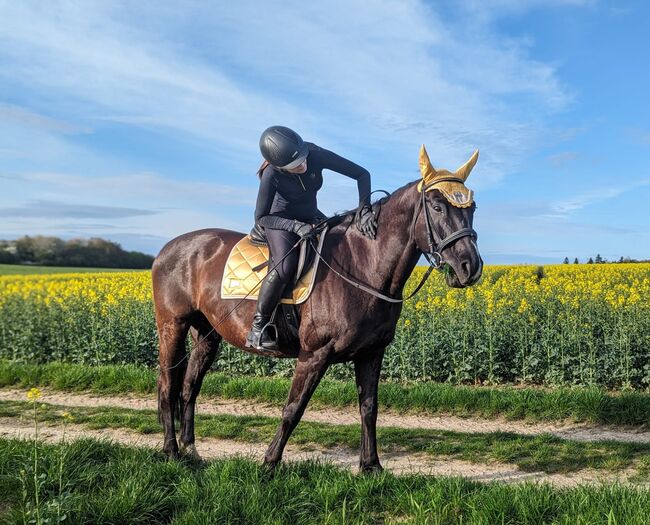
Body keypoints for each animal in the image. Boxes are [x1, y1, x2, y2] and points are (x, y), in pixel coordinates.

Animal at [152, 145, 480, 472]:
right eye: (437, 206)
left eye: (472, 207)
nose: (470, 267)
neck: (362, 264)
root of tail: (168, 248)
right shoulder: (314, 354)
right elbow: (293, 409)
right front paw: (269, 464)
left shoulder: (371, 353)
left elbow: (369, 407)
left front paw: (371, 466)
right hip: (172, 326)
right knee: (168, 385)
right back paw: (172, 451)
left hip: (207, 335)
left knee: (190, 387)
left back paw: (191, 449)